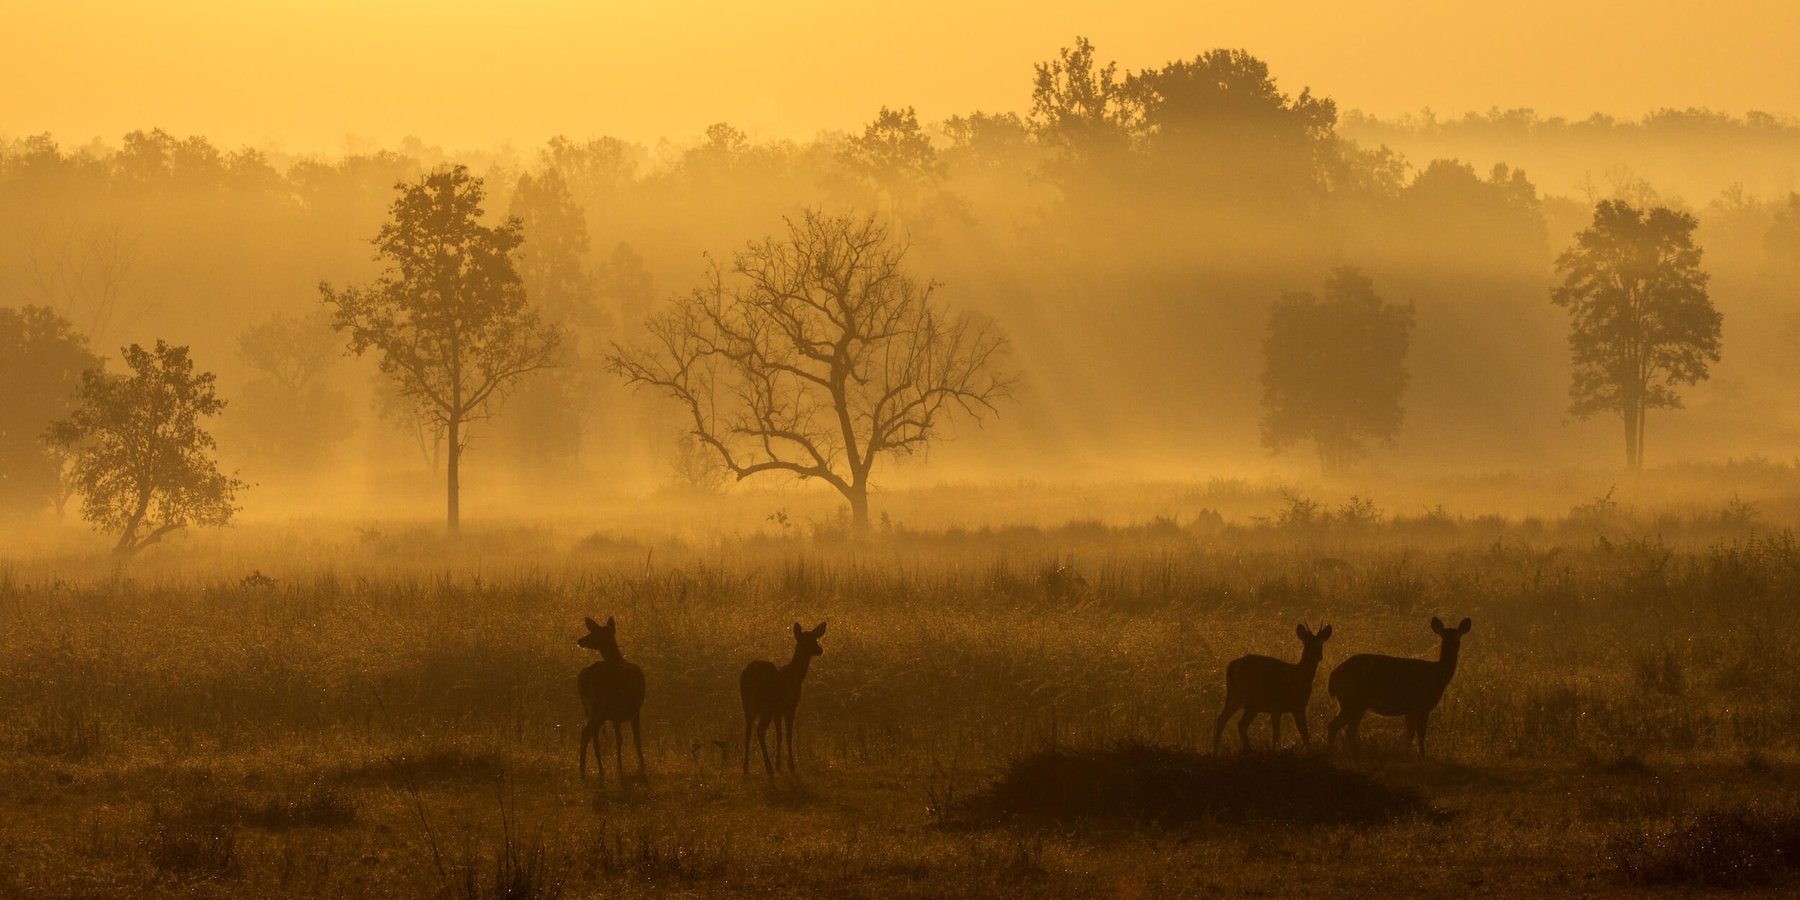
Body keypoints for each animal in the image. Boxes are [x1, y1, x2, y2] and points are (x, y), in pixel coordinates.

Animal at [576, 616, 646, 786]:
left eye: (594, 633)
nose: (580, 640)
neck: (618, 659)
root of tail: (584, 679)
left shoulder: (616, 715)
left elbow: (619, 739)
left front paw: (621, 768)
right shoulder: (632, 710)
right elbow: (634, 739)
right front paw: (638, 767)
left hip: (589, 708)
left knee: (592, 736)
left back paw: (593, 771)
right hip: (601, 708)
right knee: (587, 732)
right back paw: (585, 772)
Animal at [740, 621, 826, 780]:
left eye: (815, 638)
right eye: (807, 641)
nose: (820, 650)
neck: (795, 676)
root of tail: (750, 674)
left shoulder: (777, 711)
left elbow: (779, 734)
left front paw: (779, 764)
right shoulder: (790, 705)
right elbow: (788, 734)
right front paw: (790, 765)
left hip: (747, 705)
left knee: (748, 731)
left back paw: (746, 767)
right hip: (765, 706)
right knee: (760, 731)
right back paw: (768, 768)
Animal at [1213, 623, 1333, 752]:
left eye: (1320, 643)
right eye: (1307, 643)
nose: (1318, 656)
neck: (1299, 676)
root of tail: (1231, 666)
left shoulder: (1286, 708)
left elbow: (1291, 733)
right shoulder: (1288, 706)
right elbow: (1295, 733)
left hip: (1234, 697)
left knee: (1222, 720)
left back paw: (1216, 752)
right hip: (1251, 701)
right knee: (1240, 724)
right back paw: (1247, 749)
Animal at [1327, 616, 1472, 755]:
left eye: (1458, 638)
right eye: (1444, 638)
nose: (1453, 646)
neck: (1437, 674)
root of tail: (1333, 677)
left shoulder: (1411, 709)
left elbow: (1410, 734)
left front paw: (1407, 752)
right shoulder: (1422, 705)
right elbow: (1421, 733)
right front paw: (1422, 754)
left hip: (1352, 703)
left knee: (1341, 728)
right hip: (1353, 700)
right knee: (1340, 727)